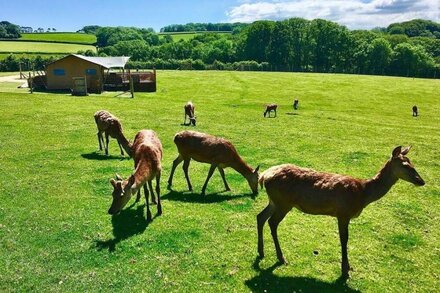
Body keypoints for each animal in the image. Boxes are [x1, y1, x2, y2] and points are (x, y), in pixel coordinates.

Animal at [256, 146, 424, 278]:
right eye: (405, 165)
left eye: (412, 163)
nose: (421, 181)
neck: (363, 194)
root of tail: (263, 176)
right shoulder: (343, 213)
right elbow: (344, 239)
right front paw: (345, 270)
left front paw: (348, 267)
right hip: (283, 203)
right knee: (272, 222)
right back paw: (281, 257)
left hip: (274, 201)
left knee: (260, 216)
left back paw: (261, 251)